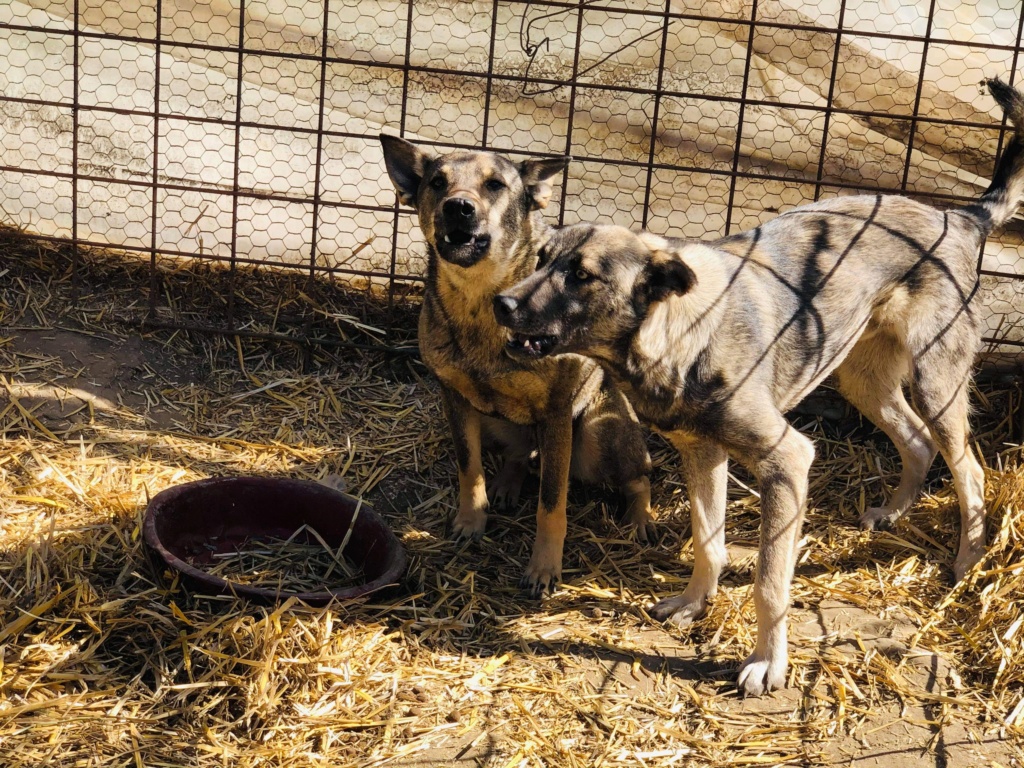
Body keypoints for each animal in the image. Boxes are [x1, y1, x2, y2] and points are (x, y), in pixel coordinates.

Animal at [380, 137, 651, 593]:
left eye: (495, 185)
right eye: (437, 182)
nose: (458, 207)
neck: (481, 302)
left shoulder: (557, 414)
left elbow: (551, 503)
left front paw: (544, 567)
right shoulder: (454, 399)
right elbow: (469, 468)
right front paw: (471, 520)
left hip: (599, 436)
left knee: (640, 476)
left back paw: (639, 520)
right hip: (489, 421)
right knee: (520, 454)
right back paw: (507, 484)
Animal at [493, 79, 1024, 696]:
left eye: (581, 275)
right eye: (541, 259)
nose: (500, 304)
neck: (678, 333)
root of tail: (955, 217)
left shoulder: (787, 461)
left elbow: (770, 584)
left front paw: (768, 663)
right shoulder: (703, 452)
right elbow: (708, 541)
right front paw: (693, 602)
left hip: (937, 384)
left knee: (969, 470)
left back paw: (968, 560)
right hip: (861, 378)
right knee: (915, 442)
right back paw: (893, 513)